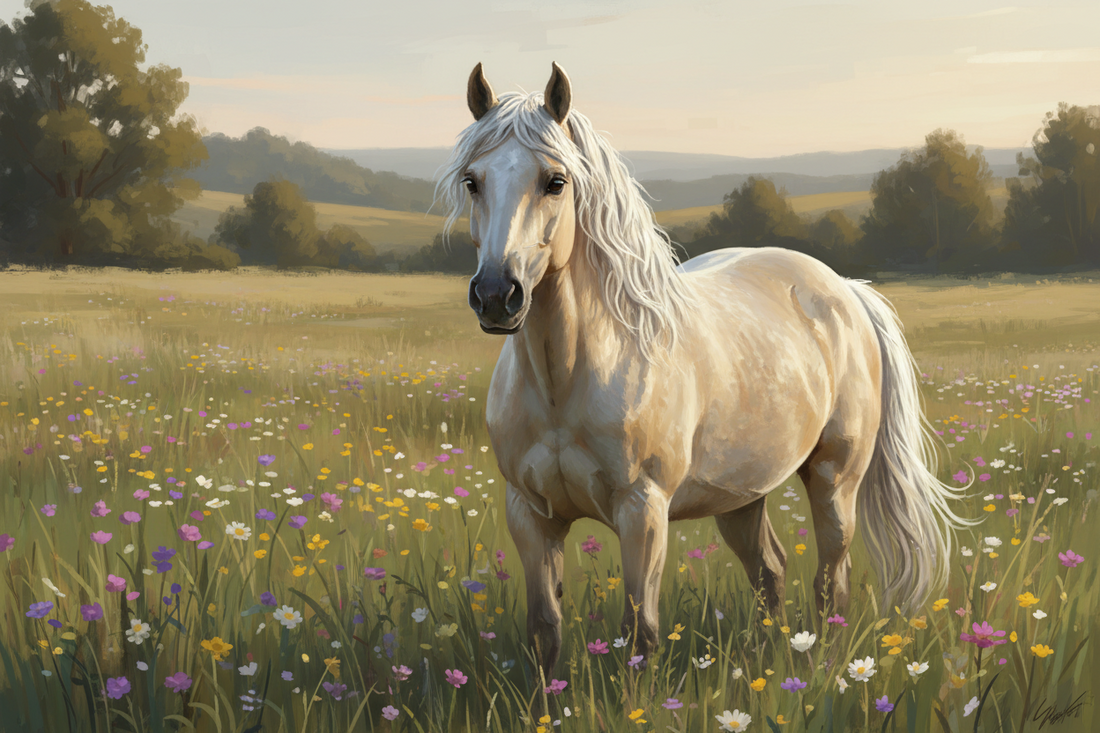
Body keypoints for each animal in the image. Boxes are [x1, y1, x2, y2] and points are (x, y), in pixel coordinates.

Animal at [434, 61, 973, 675]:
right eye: (472, 181)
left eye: (555, 181)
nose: (497, 296)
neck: (565, 382)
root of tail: (846, 289)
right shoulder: (530, 516)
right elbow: (545, 631)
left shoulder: (642, 512)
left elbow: (639, 633)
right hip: (742, 495)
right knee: (770, 572)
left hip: (835, 482)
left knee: (831, 583)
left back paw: (826, 666)